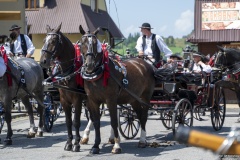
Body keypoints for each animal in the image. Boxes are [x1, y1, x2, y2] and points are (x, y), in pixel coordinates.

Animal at [39, 23, 92, 152]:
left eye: (53, 40)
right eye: (44, 40)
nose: (43, 61)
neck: (69, 71)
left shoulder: (77, 100)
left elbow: (76, 122)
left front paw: (76, 143)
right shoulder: (64, 100)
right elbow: (68, 122)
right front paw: (69, 143)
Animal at [79, 25, 156, 154]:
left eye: (95, 43)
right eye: (81, 43)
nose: (89, 65)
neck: (98, 75)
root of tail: (145, 63)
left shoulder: (111, 100)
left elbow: (114, 121)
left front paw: (116, 145)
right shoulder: (92, 101)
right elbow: (96, 122)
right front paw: (95, 146)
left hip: (145, 97)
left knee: (144, 116)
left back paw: (142, 140)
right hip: (134, 99)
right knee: (139, 115)